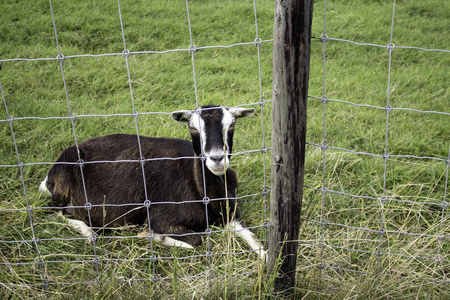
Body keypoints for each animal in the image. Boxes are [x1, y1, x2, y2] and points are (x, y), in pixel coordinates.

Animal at [38, 106, 266, 260]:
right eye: (193, 128)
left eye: (232, 124)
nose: (217, 158)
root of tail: (49, 177)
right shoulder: (160, 217)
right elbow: (197, 240)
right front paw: (149, 235)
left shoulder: (232, 212)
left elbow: (256, 240)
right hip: (64, 183)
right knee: (53, 210)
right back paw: (89, 233)